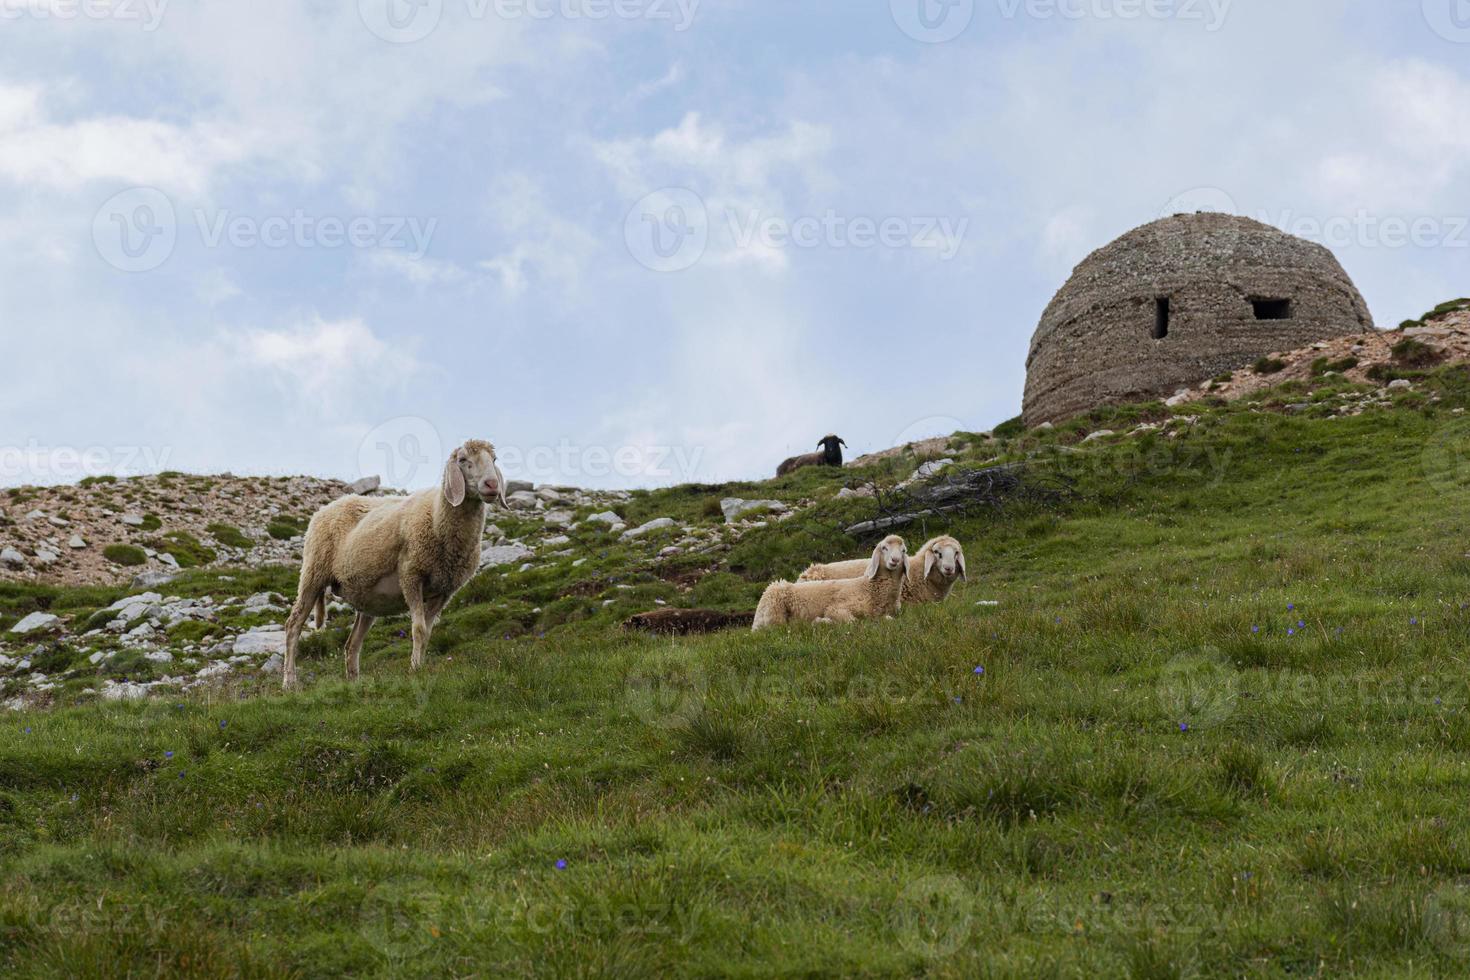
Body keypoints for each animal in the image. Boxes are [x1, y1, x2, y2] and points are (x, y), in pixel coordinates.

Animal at [280, 440, 511, 687]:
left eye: (494, 459)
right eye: (463, 459)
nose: (492, 484)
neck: (437, 516)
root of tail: (327, 507)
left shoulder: (444, 591)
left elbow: (427, 633)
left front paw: (420, 665)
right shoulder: (411, 574)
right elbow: (418, 629)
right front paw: (415, 670)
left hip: (366, 598)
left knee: (352, 644)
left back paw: (354, 682)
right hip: (313, 573)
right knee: (293, 625)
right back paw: (289, 682)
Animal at [758, 537, 905, 628]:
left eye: (903, 550)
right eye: (884, 548)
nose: (895, 560)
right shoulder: (837, 608)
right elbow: (852, 621)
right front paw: (822, 621)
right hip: (775, 612)